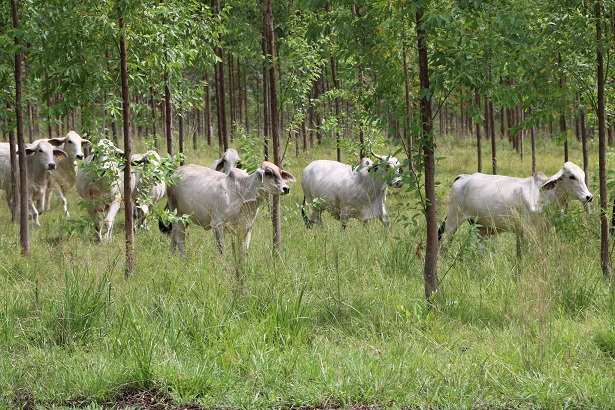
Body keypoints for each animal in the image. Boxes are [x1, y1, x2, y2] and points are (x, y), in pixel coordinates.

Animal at [161, 161, 295, 256]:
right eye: (268, 173)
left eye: (280, 173)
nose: (286, 188)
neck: (242, 192)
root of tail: (175, 172)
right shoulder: (217, 224)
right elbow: (221, 250)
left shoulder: (247, 228)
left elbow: (244, 252)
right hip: (176, 213)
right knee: (180, 237)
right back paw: (184, 258)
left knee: (174, 235)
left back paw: (171, 256)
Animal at [438, 161, 593, 255]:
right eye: (572, 177)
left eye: (583, 176)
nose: (588, 197)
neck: (544, 196)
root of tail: (463, 177)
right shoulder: (529, 231)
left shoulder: (543, 230)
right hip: (453, 219)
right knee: (444, 243)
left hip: (482, 228)